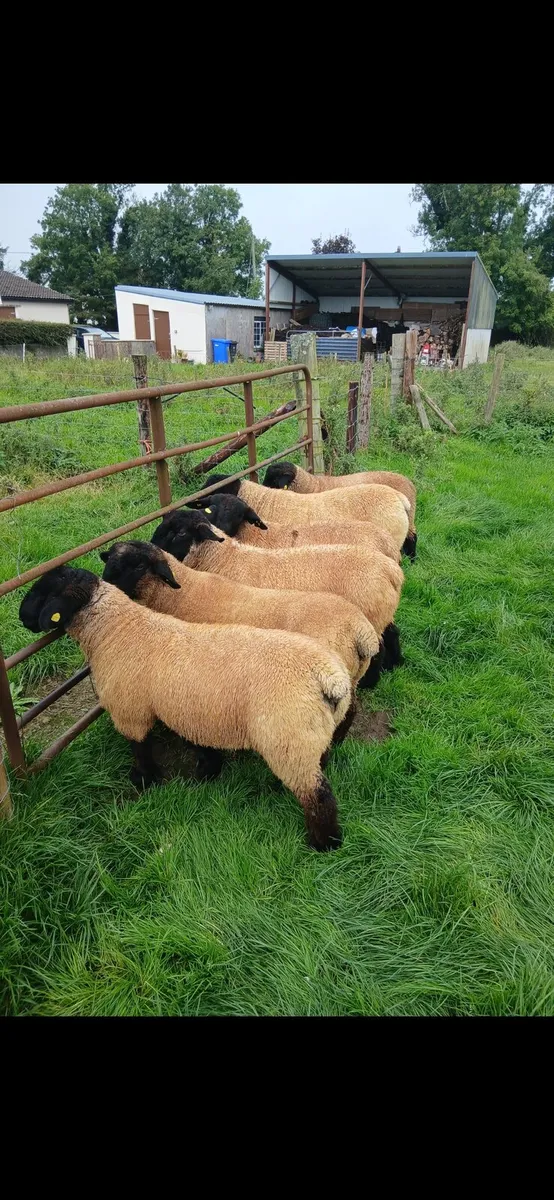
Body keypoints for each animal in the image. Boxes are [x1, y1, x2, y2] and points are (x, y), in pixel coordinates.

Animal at [19, 565, 354, 851]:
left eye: (46, 590)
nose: (21, 617)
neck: (117, 630)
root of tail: (327, 676)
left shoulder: (130, 710)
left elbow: (140, 748)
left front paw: (143, 780)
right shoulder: (188, 711)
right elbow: (198, 745)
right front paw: (206, 771)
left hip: (288, 737)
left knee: (319, 798)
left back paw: (323, 844)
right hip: (309, 734)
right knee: (320, 763)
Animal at [152, 509, 405, 674]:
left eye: (180, 533)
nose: (153, 547)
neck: (226, 558)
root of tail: (392, 569)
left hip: (372, 617)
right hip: (383, 615)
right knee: (393, 633)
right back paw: (395, 665)